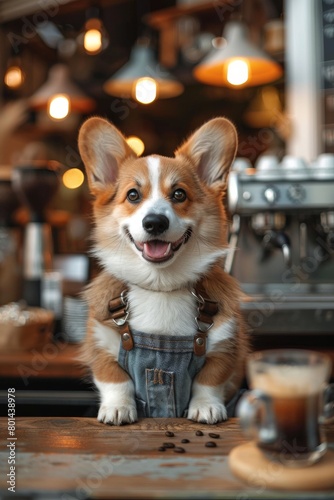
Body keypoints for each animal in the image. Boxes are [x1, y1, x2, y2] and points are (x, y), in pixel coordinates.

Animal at [78, 117, 248, 426]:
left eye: (179, 194)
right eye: (133, 195)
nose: (155, 222)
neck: (160, 286)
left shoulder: (225, 346)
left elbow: (210, 380)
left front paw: (206, 408)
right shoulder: (100, 342)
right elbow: (114, 379)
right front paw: (117, 408)